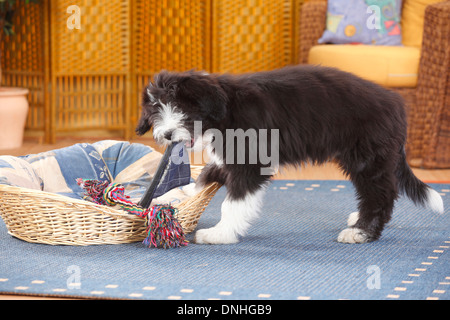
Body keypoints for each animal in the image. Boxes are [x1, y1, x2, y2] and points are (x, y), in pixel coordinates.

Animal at [134, 65, 442, 245]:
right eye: (156, 111)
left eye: (180, 108)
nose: (168, 134)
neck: (224, 109)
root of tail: (396, 104)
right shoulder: (227, 159)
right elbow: (204, 177)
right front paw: (167, 197)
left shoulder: (250, 162)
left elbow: (232, 203)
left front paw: (221, 233)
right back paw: (358, 220)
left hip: (367, 158)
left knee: (381, 194)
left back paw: (362, 231)